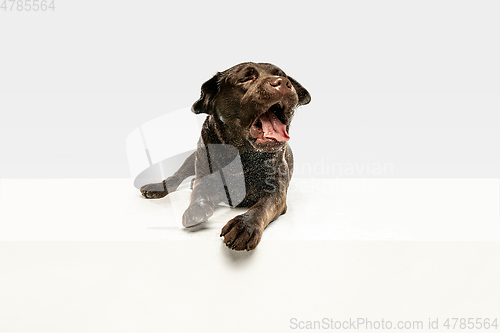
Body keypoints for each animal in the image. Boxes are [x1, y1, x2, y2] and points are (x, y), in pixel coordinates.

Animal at [141, 61, 310, 249]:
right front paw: (197, 207)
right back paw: (158, 186)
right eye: (246, 78)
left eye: (283, 76)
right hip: (191, 159)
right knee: (177, 176)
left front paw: (245, 224)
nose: (282, 83)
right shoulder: (205, 177)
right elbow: (199, 192)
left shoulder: (276, 192)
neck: (242, 156)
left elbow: (261, 207)